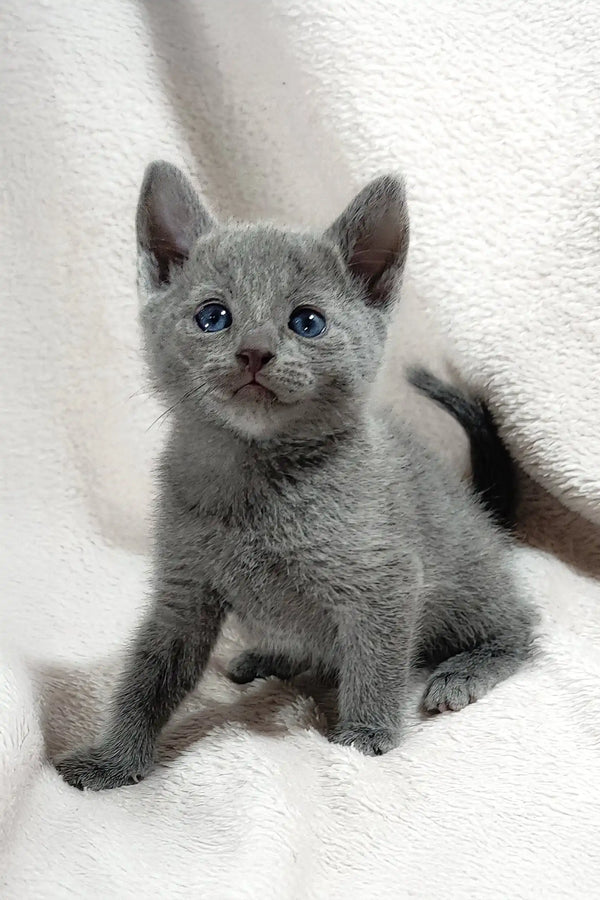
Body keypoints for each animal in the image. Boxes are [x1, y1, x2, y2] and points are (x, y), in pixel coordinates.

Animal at [55, 165, 536, 792]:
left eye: (307, 322)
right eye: (213, 316)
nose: (255, 352)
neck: (253, 481)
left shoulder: (387, 579)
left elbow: (375, 665)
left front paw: (364, 737)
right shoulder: (183, 592)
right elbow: (149, 675)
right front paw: (113, 761)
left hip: (469, 585)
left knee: (520, 626)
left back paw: (465, 670)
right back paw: (271, 656)